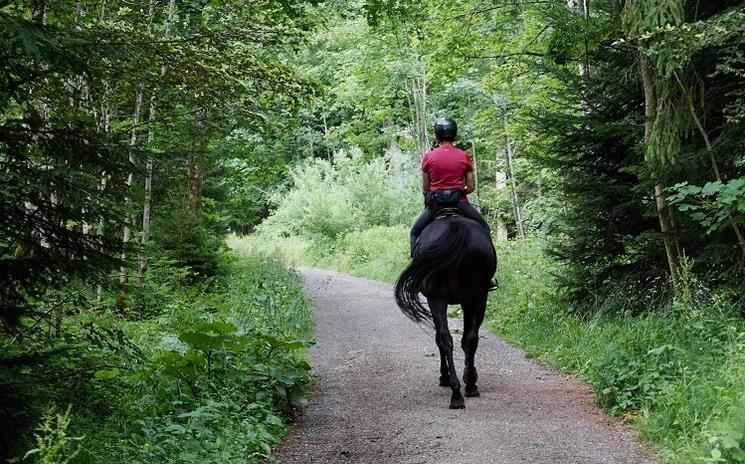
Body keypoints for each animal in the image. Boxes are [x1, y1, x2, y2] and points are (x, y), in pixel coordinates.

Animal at [395, 213, 496, 409]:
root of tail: (457, 228)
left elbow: (439, 337)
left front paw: (444, 375)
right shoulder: (468, 301)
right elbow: (466, 339)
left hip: (438, 298)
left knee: (444, 338)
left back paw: (455, 391)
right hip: (478, 297)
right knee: (469, 338)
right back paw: (469, 386)